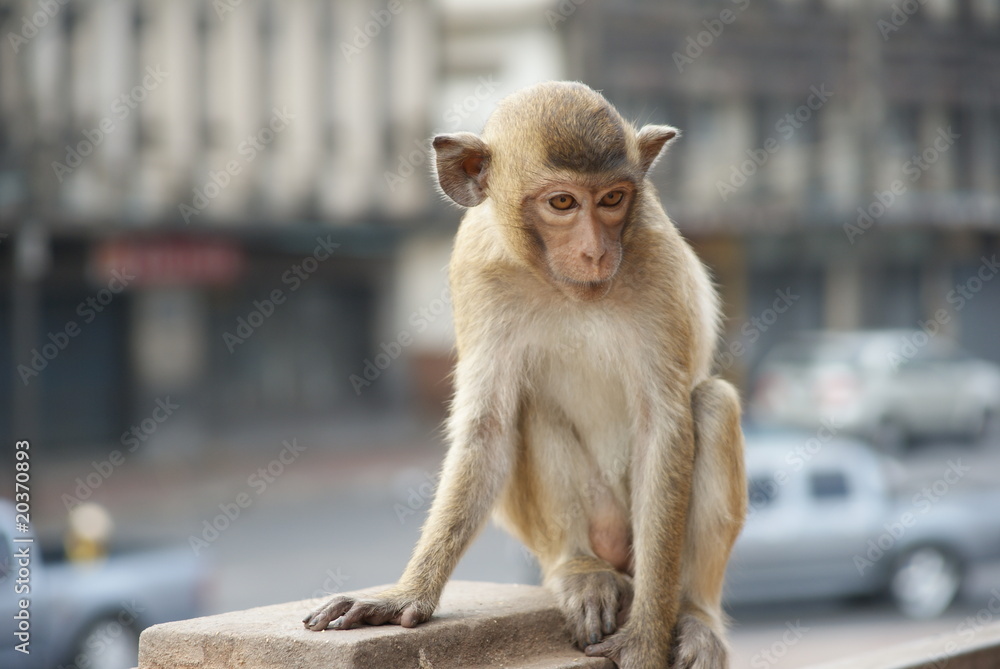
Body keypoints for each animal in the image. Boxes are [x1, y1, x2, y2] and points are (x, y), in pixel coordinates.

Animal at [304, 81, 747, 669]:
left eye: (612, 199)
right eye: (562, 203)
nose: (595, 251)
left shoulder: (657, 263)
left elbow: (665, 428)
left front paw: (647, 637)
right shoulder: (477, 270)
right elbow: (489, 427)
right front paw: (404, 596)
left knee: (712, 404)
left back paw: (695, 616)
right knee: (528, 408)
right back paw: (579, 571)